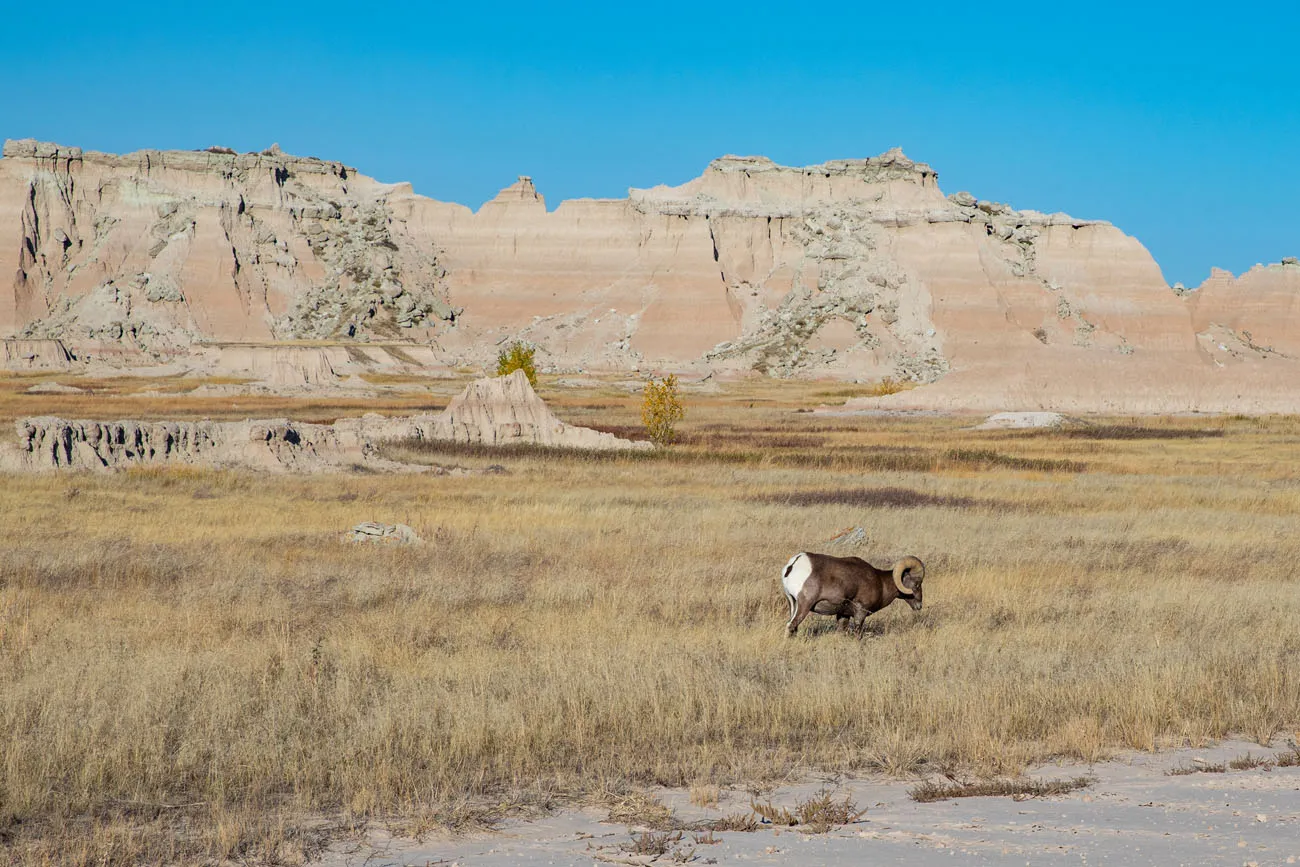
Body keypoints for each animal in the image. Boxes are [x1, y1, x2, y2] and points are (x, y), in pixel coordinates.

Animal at [780, 556, 925, 636]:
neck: (881, 583)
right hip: (804, 605)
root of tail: (792, 565)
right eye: (917, 584)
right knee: (791, 625)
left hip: (792, 603)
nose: (919, 606)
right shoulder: (860, 612)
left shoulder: (843, 615)